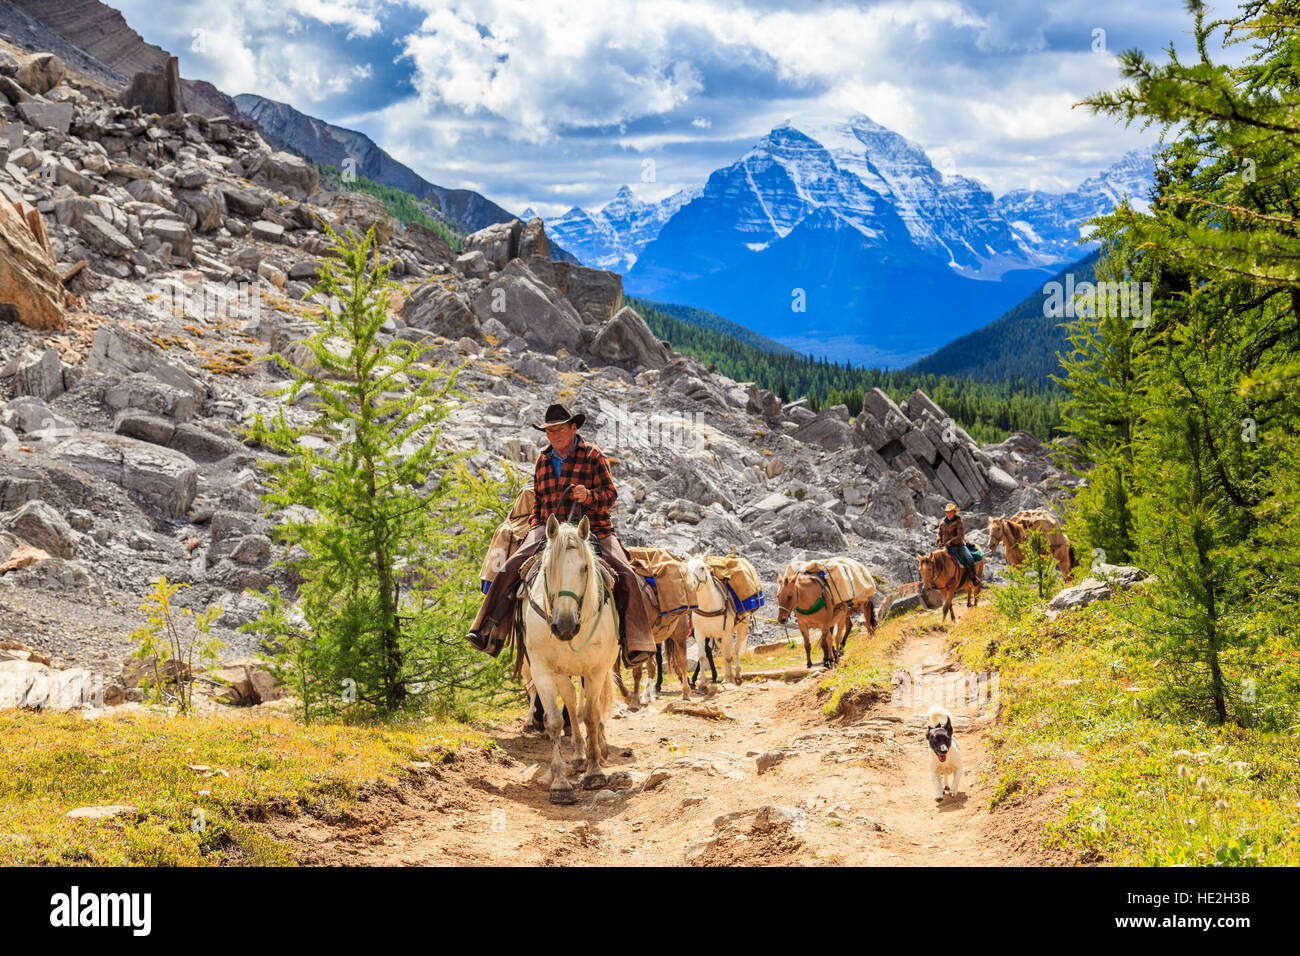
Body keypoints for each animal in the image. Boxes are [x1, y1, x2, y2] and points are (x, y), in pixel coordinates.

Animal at [522, 520, 618, 806]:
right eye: (548, 568)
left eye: (585, 567)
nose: (564, 626)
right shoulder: (542, 670)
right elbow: (555, 720)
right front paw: (561, 784)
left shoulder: (595, 669)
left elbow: (591, 715)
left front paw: (594, 772)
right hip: (561, 673)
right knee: (572, 703)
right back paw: (577, 755)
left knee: (589, 707)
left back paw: (598, 747)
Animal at [686, 554, 748, 686]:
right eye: (686, 569)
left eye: (702, 567)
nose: (691, 584)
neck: (709, 606)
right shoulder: (699, 634)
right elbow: (702, 656)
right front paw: (702, 683)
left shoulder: (727, 633)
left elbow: (729, 655)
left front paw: (730, 678)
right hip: (717, 636)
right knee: (724, 650)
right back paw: (726, 677)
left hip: (742, 627)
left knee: (736, 649)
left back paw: (736, 674)